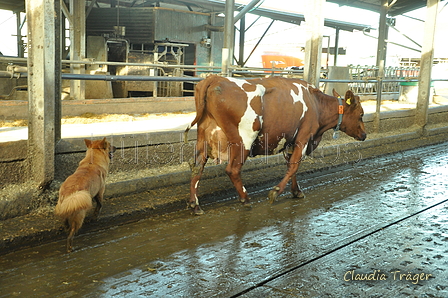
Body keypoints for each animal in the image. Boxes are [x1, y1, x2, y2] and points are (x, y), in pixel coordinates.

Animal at [184, 74, 366, 214]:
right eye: (361, 114)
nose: (364, 135)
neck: (316, 104)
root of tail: (215, 78)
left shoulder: (290, 142)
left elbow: (292, 167)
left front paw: (296, 191)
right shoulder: (303, 138)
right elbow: (294, 166)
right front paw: (276, 192)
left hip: (203, 138)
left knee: (197, 168)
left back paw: (195, 205)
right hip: (244, 140)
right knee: (232, 170)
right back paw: (245, 199)